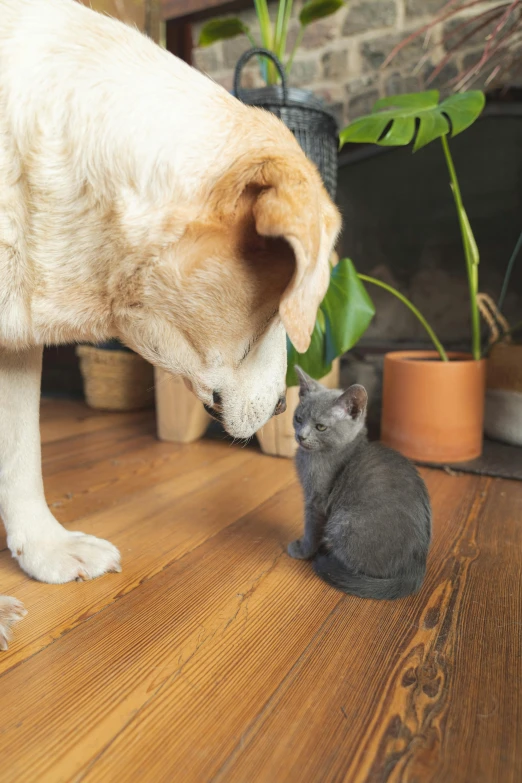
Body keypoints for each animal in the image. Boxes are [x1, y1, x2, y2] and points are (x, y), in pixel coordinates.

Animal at [286, 368, 428, 600]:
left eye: (321, 427)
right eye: (298, 418)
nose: (301, 436)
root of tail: (415, 570)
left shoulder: (317, 500)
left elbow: (311, 527)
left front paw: (302, 550)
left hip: (342, 522)